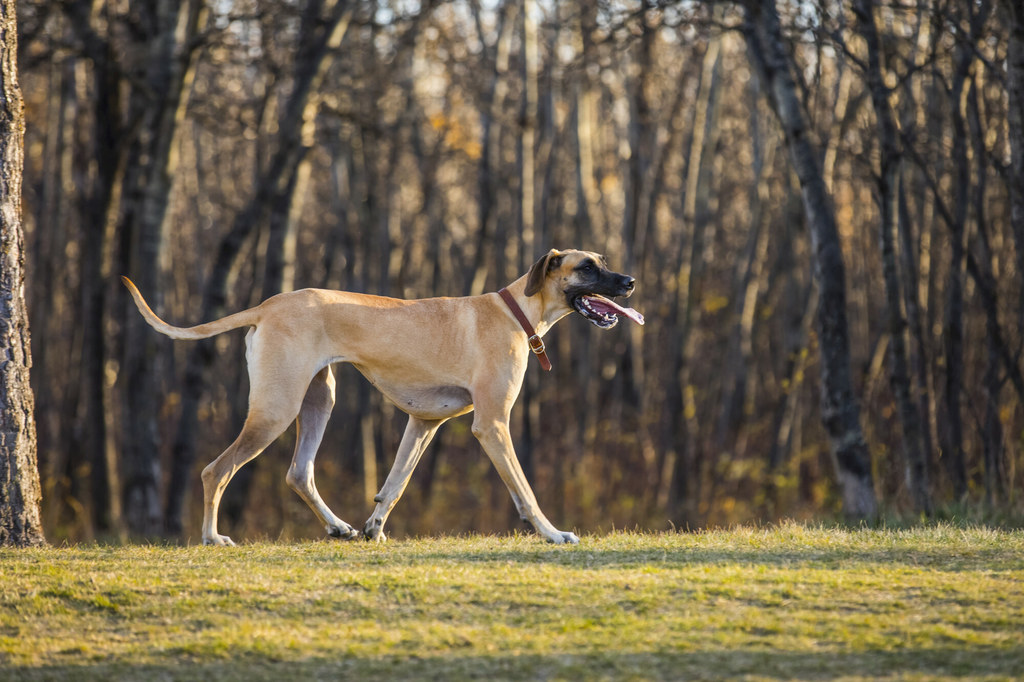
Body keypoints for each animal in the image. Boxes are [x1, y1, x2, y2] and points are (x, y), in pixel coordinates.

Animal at [123, 246, 643, 544]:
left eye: (603, 262)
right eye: (587, 268)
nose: (631, 282)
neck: (516, 310)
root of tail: (267, 305)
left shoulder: (423, 423)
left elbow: (394, 484)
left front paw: (375, 528)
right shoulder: (492, 425)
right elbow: (525, 491)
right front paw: (553, 534)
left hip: (319, 402)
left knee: (298, 473)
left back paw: (338, 526)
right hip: (276, 409)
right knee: (216, 469)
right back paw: (213, 537)